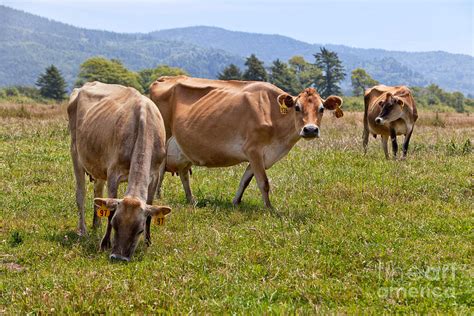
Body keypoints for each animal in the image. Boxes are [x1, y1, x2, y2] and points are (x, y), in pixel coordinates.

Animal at [66, 81, 170, 262]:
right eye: (115, 224)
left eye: (139, 230)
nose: (119, 257)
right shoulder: (113, 173)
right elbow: (110, 209)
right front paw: (105, 243)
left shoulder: (155, 174)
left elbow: (150, 213)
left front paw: (148, 243)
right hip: (76, 153)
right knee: (81, 194)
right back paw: (83, 230)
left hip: (99, 165)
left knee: (98, 193)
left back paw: (96, 225)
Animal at [150, 75, 342, 209]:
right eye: (297, 107)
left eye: (321, 109)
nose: (310, 129)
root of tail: (164, 78)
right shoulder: (254, 150)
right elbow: (263, 183)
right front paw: (270, 209)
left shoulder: (259, 156)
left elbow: (245, 181)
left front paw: (236, 202)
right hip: (163, 139)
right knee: (159, 170)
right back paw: (159, 197)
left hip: (183, 147)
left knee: (183, 174)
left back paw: (191, 200)